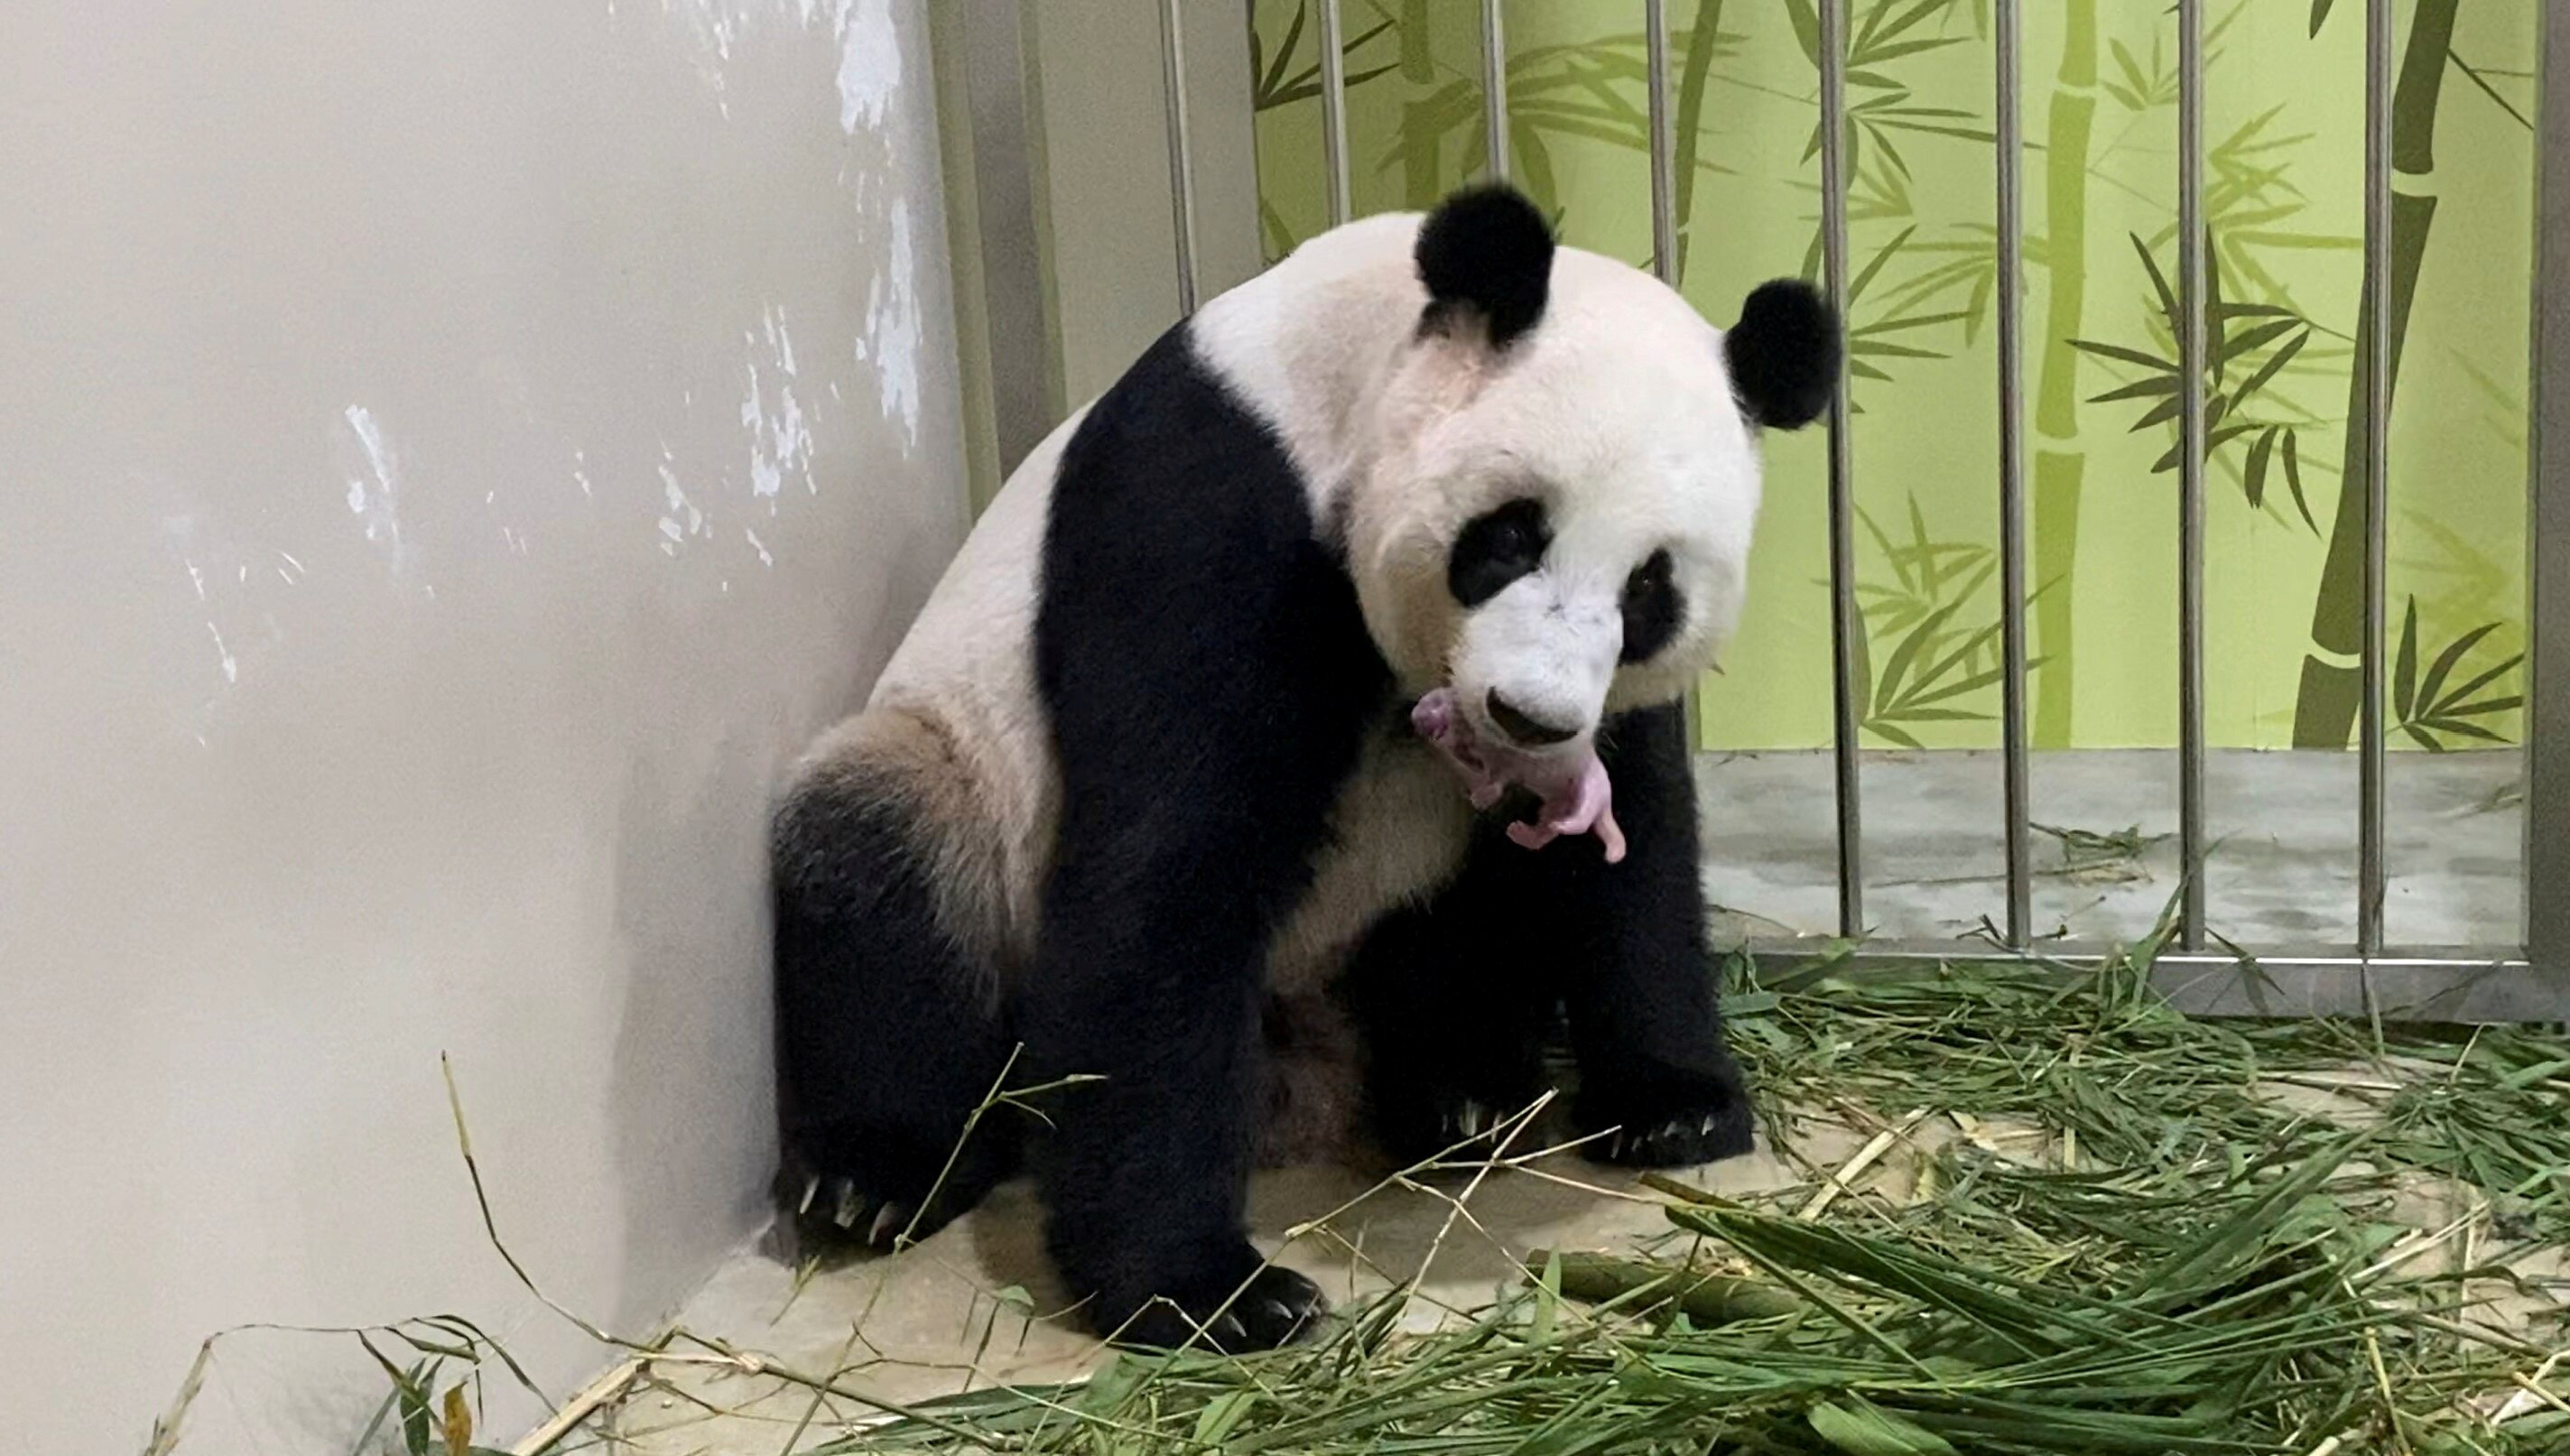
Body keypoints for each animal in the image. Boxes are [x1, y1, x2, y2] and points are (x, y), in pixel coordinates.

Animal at [770, 184, 1837, 1353]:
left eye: (1650, 588)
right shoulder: (1209, 506)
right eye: (1510, 537)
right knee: (879, 863)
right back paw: (876, 1174)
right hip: (959, 782)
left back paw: (1458, 1085)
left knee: (1466, 924)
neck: (1338, 376)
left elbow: (1633, 839)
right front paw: (1208, 1290)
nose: (1528, 714)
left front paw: (1674, 1104)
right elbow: (1169, 863)